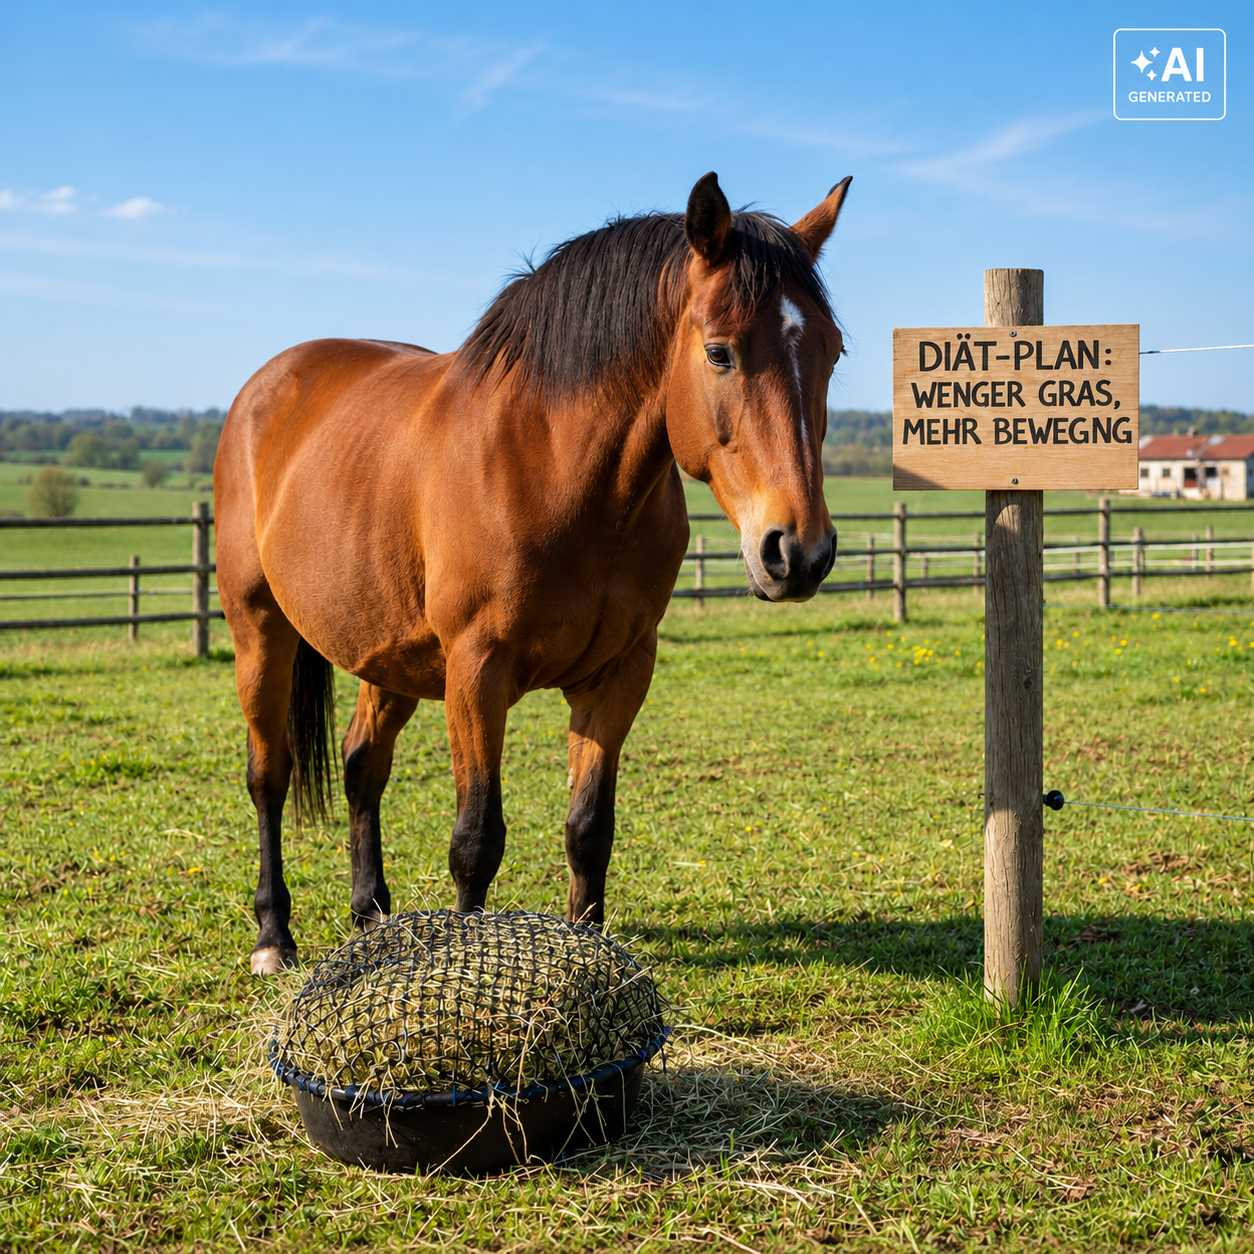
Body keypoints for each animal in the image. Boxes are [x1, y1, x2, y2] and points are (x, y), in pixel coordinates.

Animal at [213, 171, 851, 974]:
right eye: (719, 353)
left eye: (833, 353)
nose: (797, 552)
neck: (555, 466)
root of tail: (267, 385)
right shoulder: (477, 671)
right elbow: (476, 841)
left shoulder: (620, 673)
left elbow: (589, 829)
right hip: (259, 627)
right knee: (269, 776)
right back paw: (274, 936)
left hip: (387, 651)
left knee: (362, 767)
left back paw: (371, 916)